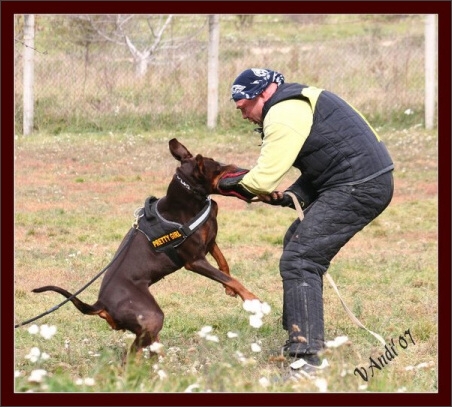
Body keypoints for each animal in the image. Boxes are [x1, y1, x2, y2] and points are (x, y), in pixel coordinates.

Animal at [33, 140, 260, 360]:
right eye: (219, 166)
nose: (244, 168)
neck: (188, 202)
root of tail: (100, 304)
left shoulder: (210, 242)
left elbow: (224, 265)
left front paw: (230, 290)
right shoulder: (195, 261)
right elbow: (229, 277)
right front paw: (251, 299)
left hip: (147, 324)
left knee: (150, 347)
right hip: (151, 316)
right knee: (132, 355)